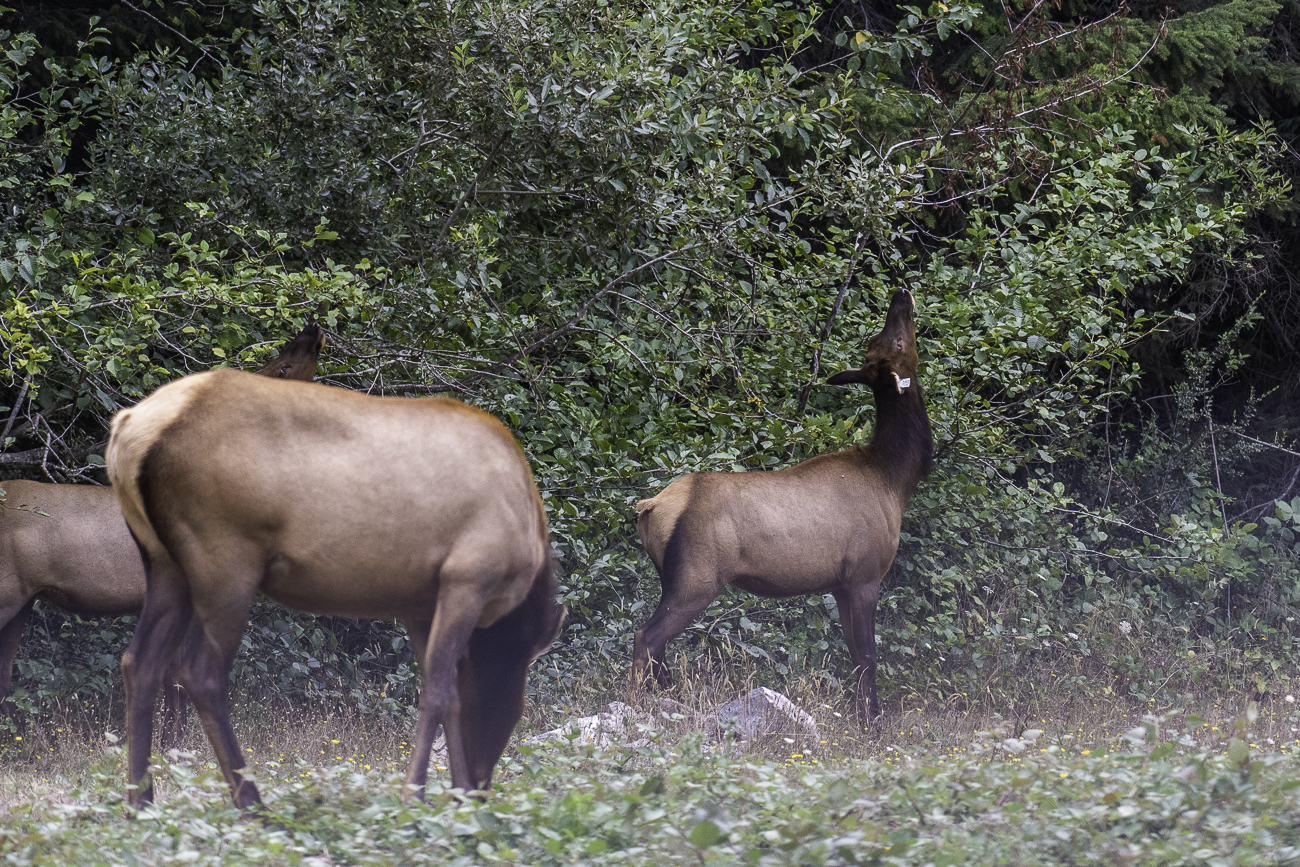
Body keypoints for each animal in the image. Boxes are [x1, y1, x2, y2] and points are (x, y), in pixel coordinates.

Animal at [0, 322, 325, 743]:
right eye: (282, 367)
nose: (312, 328)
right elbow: (176, 681)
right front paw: (172, 745)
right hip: (6, 592)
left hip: (23, 600)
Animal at [105, 369, 564, 805]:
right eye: (517, 706)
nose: (483, 786)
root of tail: (127, 433)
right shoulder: (467, 577)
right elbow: (439, 691)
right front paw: (416, 799)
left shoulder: (421, 604)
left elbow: (444, 690)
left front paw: (455, 795)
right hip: (225, 560)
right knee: (200, 672)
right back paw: (255, 806)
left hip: (165, 564)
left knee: (139, 662)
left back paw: (140, 804)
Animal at [631, 289, 930, 717]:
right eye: (899, 343)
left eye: (883, 340)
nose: (901, 294)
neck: (895, 478)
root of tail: (649, 507)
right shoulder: (865, 574)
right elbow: (869, 657)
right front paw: (871, 722)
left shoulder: (840, 584)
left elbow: (856, 657)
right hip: (696, 576)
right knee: (647, 637)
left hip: (669, 576)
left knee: (657, 645)